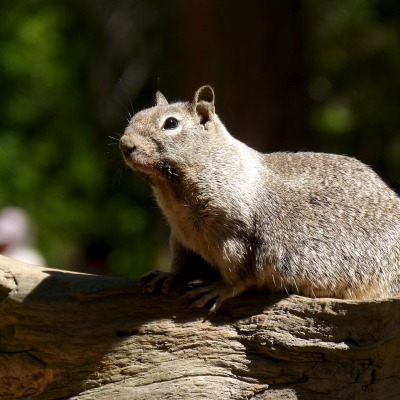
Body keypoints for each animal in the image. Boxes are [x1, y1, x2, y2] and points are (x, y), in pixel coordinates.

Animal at [119, 86, 400, 314]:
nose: (124, 144)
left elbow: (239, 274)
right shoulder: (181, 236)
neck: (173, 195)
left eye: (170, 123)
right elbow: (182, 262)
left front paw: (218, 289)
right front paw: (168, 276)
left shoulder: (236, 238)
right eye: (136, 116)